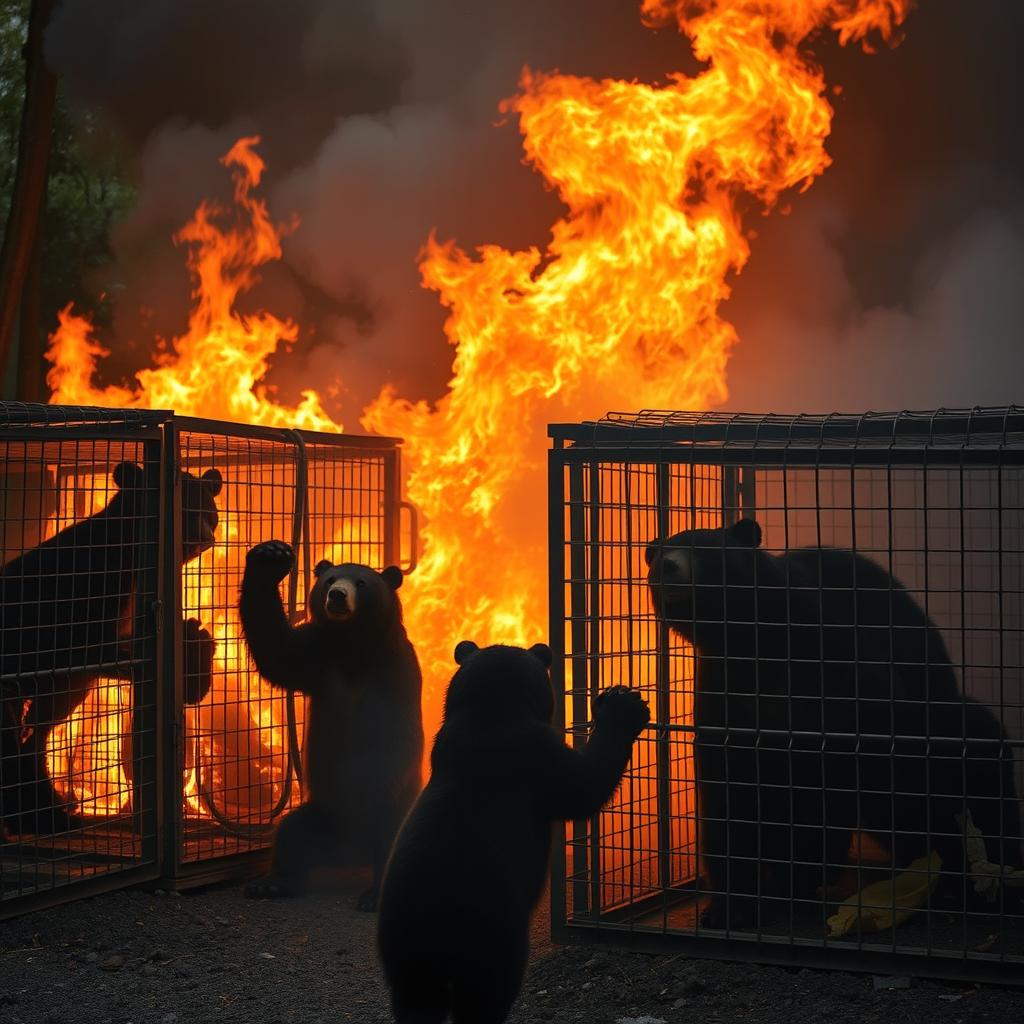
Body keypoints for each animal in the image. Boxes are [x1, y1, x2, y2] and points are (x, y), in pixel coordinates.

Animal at [0, 460, 222, 836]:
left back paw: (50, 812)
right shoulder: (90, 587)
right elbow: (101, 650)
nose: (204, 538)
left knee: (41, 726)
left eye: (209, 513)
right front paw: (191, 653)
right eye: (185, 510)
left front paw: (194, 656)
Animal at [238, 540, 423, 911]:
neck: (351, 647)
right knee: (292, 834)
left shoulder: (395, 671)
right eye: (330, 579)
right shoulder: (318, 657)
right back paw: (271, 883)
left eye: (362, 582)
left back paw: (374, 894)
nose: (337, 595)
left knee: (389, 842)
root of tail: (352, 855)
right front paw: (270, 557)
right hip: (323, 815)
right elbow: (276, 651)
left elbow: (396, 736)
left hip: (396, 815)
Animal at [377, 640, 650, 1024]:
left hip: (405, 950)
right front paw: (622, 704)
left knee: (418, 1001)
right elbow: (584, 785)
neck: (491, 714)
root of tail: (436, 919)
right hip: (494, 932)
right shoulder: (537, 757)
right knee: (486, 995)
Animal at [645, 517, 1022, 929]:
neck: (752, 644)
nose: (667, 566)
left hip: (938, 723)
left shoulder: (832, 656)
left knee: (975, 767)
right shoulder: (724, 692)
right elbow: (728, 795)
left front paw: (801, 869)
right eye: (657, 556)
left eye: (705, 548)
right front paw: (730, 907)